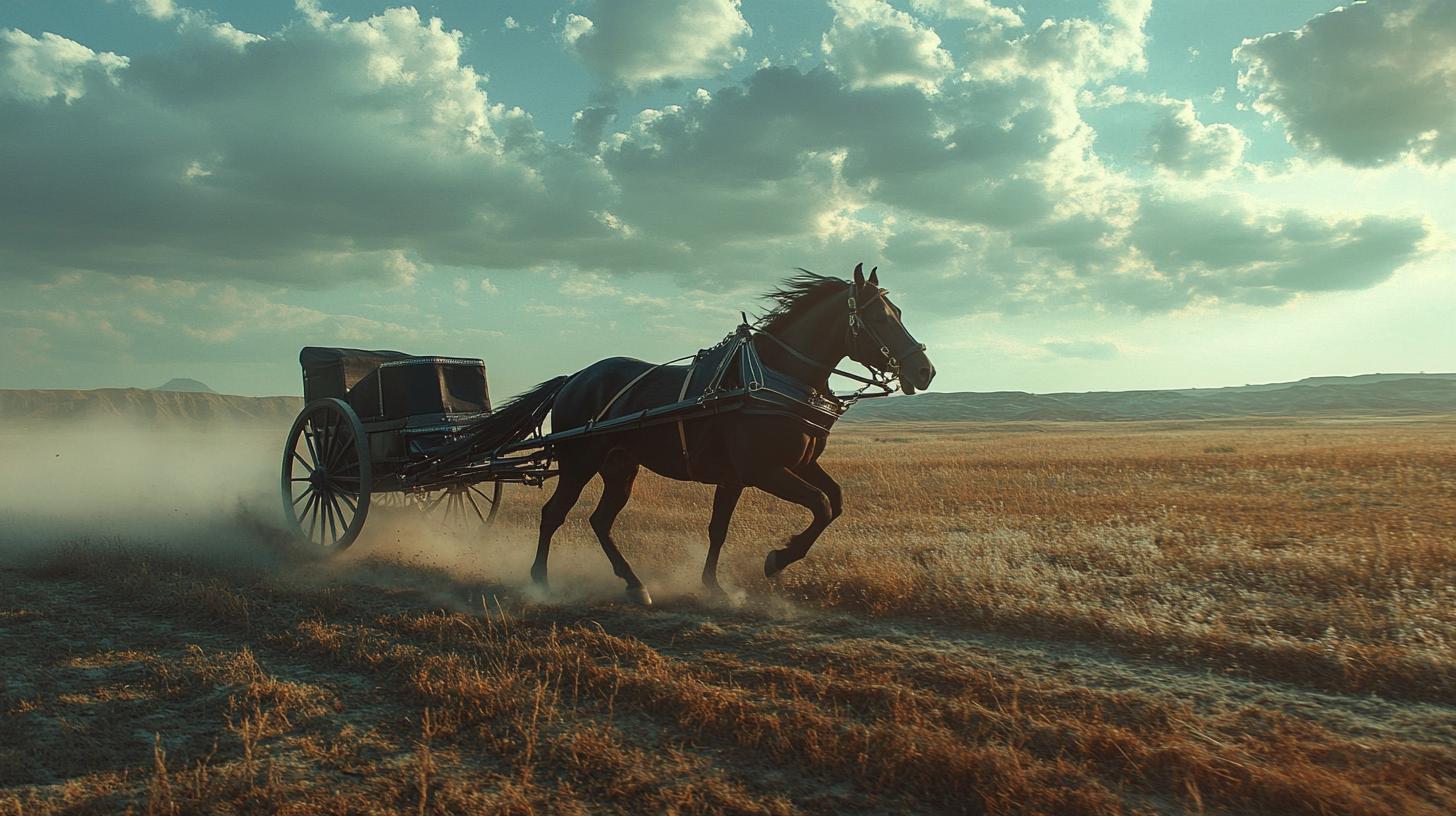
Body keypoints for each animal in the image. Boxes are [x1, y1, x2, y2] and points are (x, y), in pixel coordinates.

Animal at [489, 265, 931, 603]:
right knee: (553, 514)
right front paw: (777, 559)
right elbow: (820, 504)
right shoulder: (763, 471)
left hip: (621, 467)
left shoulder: (768, 470)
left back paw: (634, 584)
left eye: (899, 311)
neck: (769, 379)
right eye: (879, 318)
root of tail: (575, 378)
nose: (925, 371)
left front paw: (716, 585)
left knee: (599, 521)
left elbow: (825, 504)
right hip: (579, 463)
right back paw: (541, 583)